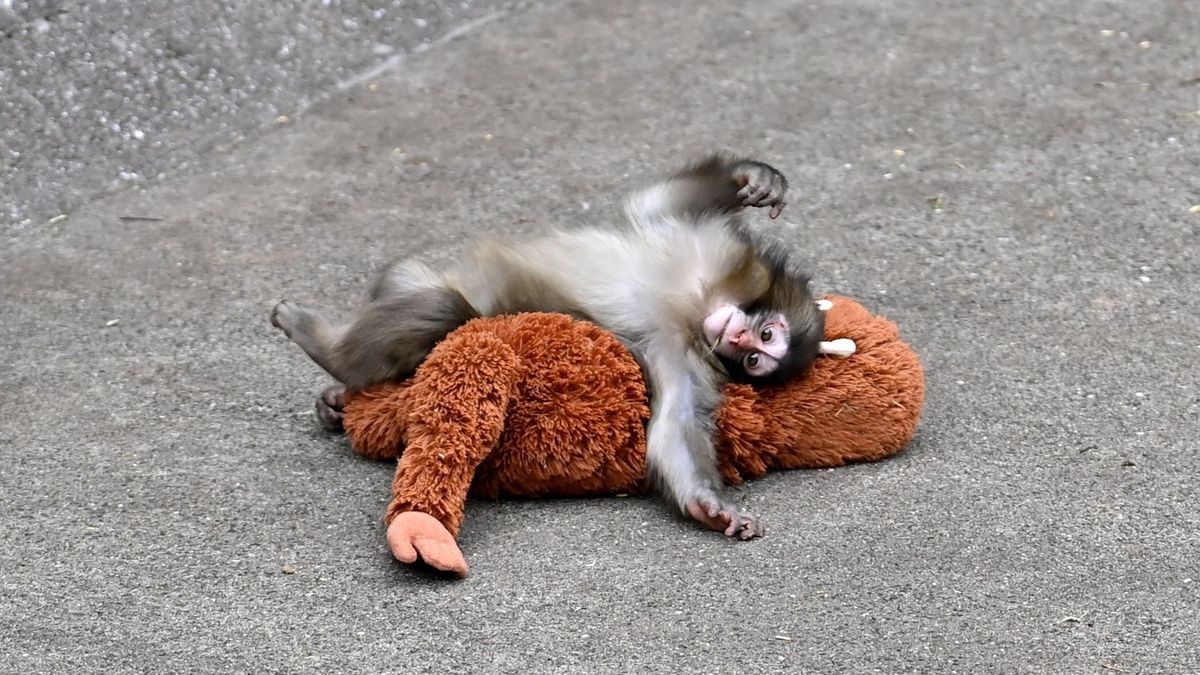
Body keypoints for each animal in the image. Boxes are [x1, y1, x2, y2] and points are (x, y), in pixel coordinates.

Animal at [271, 154, 825, 539]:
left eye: (755, 358)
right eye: (765, 336)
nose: (737, 337)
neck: (696, 305)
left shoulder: (684, 355)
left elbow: (675, 423)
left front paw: (708, 507)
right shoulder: (711, 247)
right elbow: (656, 202)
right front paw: (753, 178)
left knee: (447, 311)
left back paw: (335, 372)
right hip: (412, 276)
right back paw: (330, 357)